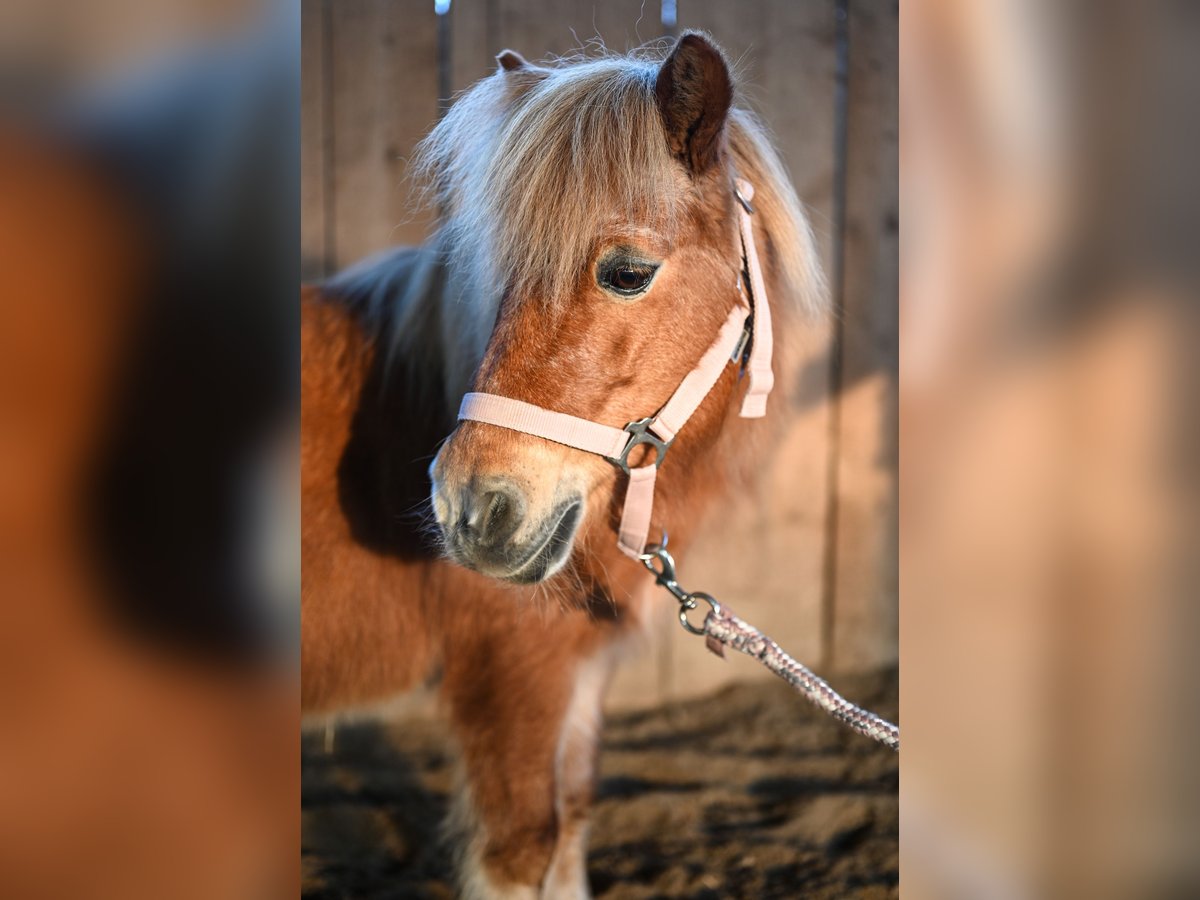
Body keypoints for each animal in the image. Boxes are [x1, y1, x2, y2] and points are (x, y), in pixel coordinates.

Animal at [300, 30, 825, 900]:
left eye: (627, 272)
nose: (469, 510)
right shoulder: (514, 680)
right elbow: (525, 848)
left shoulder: (574, 675)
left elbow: (571, 822)